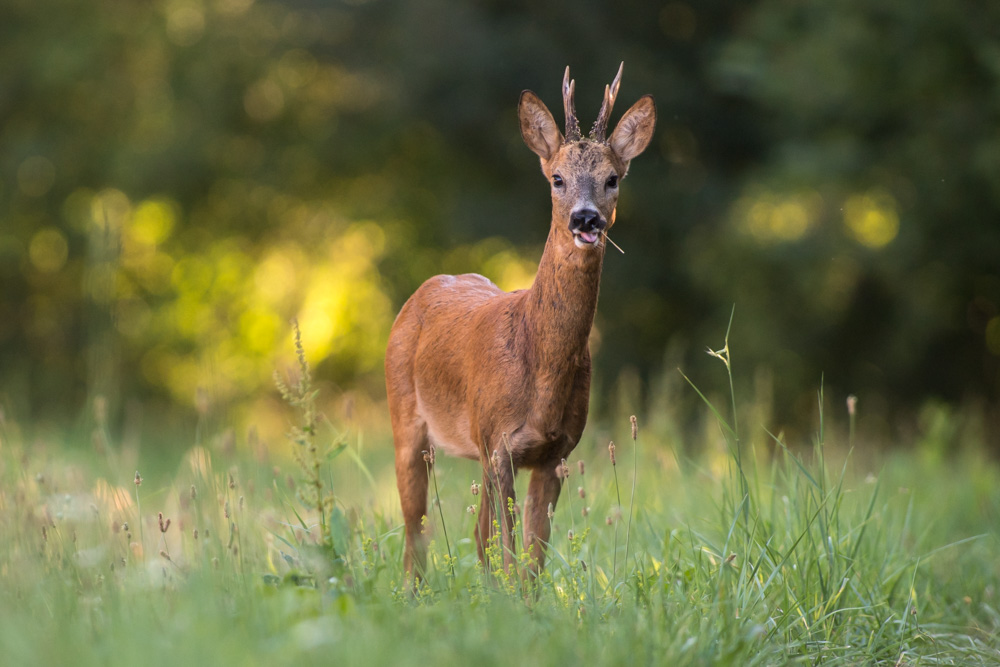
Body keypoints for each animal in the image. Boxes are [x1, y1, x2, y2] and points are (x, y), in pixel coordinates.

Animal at [384, 64, 656, 580]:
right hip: (406, 419)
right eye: (557, 178)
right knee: (415, 533)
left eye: (612, 178)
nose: (586, 219)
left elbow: (530, 560)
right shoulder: (500, 445)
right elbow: (509, 552)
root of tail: (420, 293)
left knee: (473, 536)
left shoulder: (554, 453)